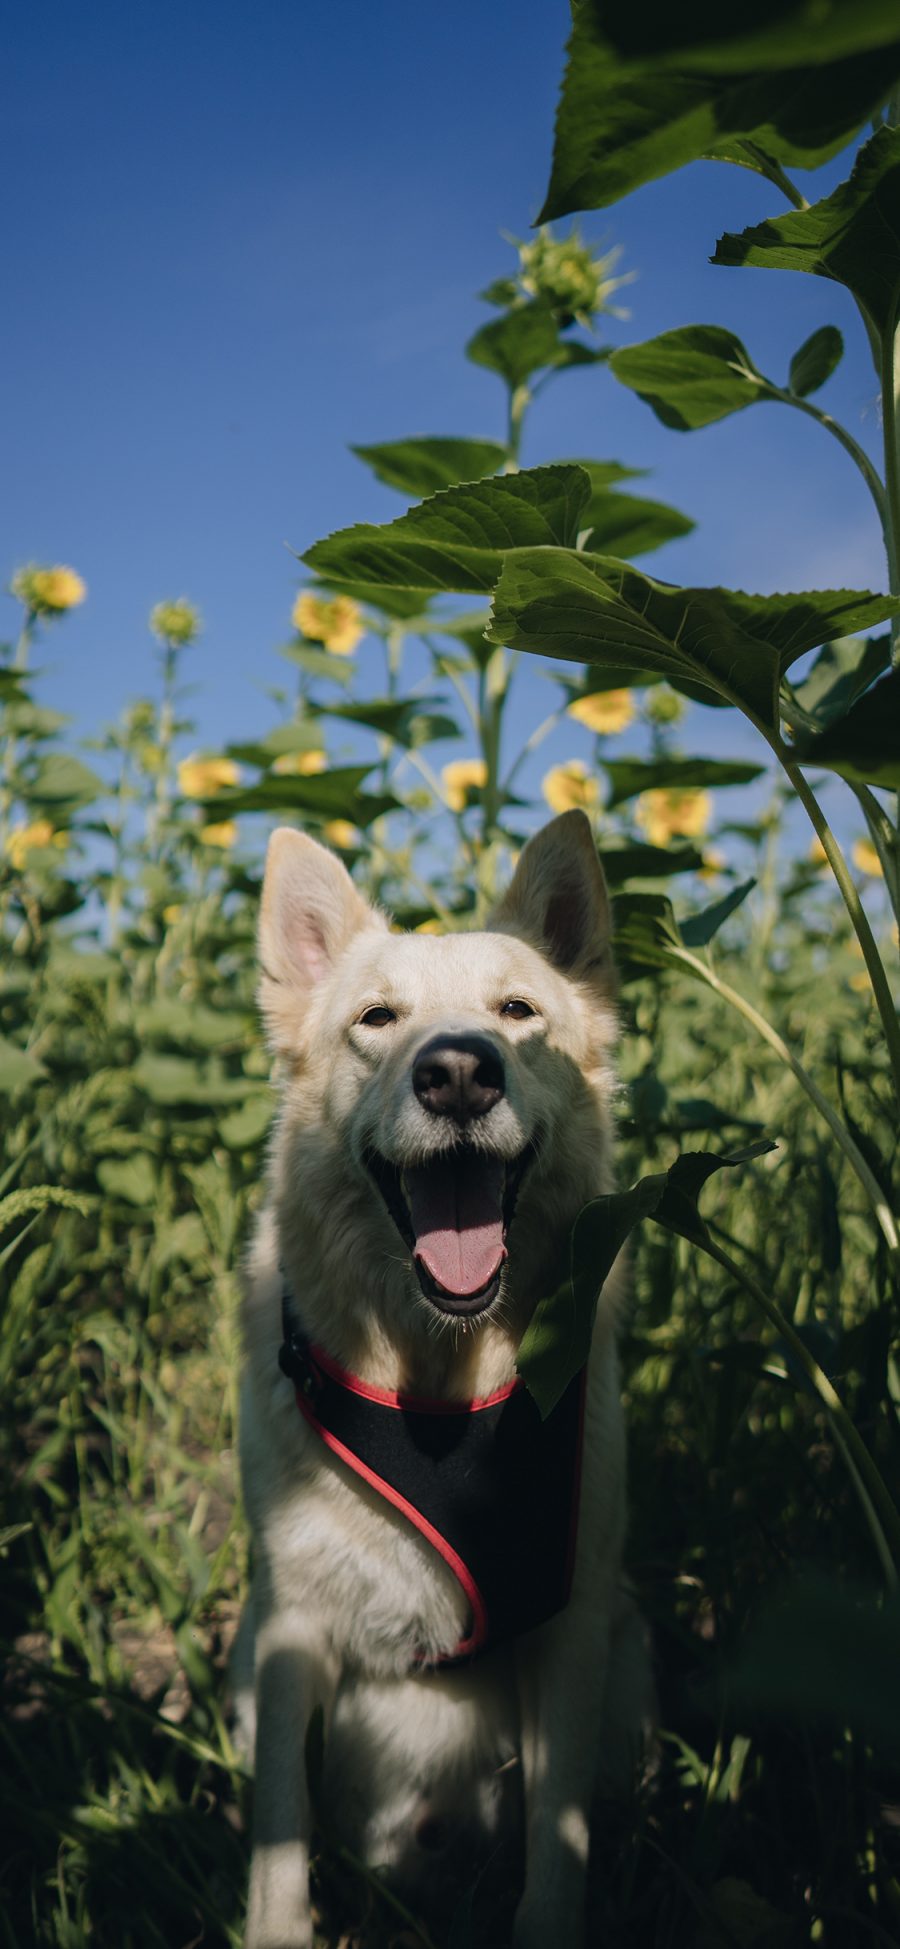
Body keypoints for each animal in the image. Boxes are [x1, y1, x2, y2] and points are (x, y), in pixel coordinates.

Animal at [231, 806, 650, 1949]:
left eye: (519, 1012)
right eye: (377, 1017)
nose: (460, 1072)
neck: (436, 1383)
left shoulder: (573, 1626)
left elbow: (558, 1849)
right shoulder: (287, 1636)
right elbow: (278, 1835)